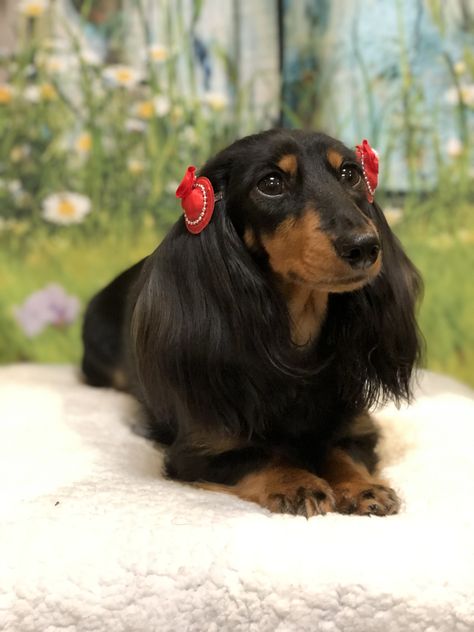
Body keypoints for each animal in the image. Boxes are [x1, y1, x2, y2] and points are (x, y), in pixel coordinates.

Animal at [82, 130, 422, 520]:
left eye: (350, 173)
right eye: (270, 183)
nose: (365, 247)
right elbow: (261, 457)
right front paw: (297, 482)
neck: (298, 348)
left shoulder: (358, 428)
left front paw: (362, 486)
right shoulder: (204, 449)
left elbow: (341, 452)